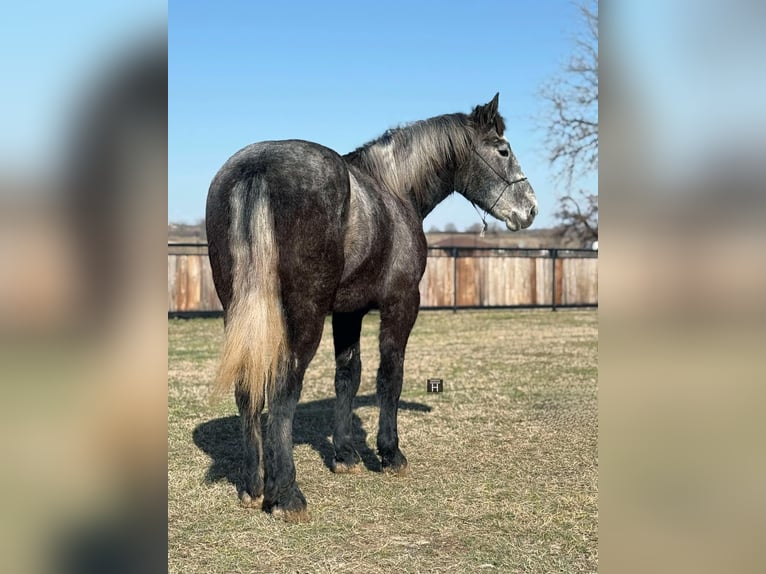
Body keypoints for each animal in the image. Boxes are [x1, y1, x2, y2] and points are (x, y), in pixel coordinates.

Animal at [206, 93, 540, 520]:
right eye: (503, 150)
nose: (530, 209)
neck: (394, 190)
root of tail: (257, 167)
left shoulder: (348, 313)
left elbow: (348, 375)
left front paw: (345, 455)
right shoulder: (402, 303)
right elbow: (389, 375)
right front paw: (390, 453)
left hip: (238, 312)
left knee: (247, 387)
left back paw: (252, 486)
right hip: (303, 317)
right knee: (283, 388)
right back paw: (287, 494)